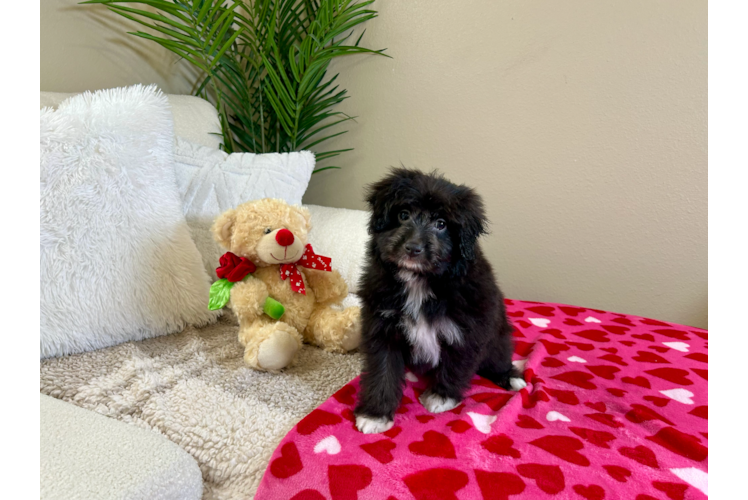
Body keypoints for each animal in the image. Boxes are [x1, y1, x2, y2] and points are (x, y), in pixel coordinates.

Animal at [352, 168, 524, 434]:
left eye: (441, 224)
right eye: (403, 215)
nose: (413, 248)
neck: (420, 281)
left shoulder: (468, 329)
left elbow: (456, 364)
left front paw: (441, 397)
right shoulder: (382, 325)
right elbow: (383, 369)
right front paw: (375, 414)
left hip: (498, 339)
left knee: (497, 360)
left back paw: (511, 377)